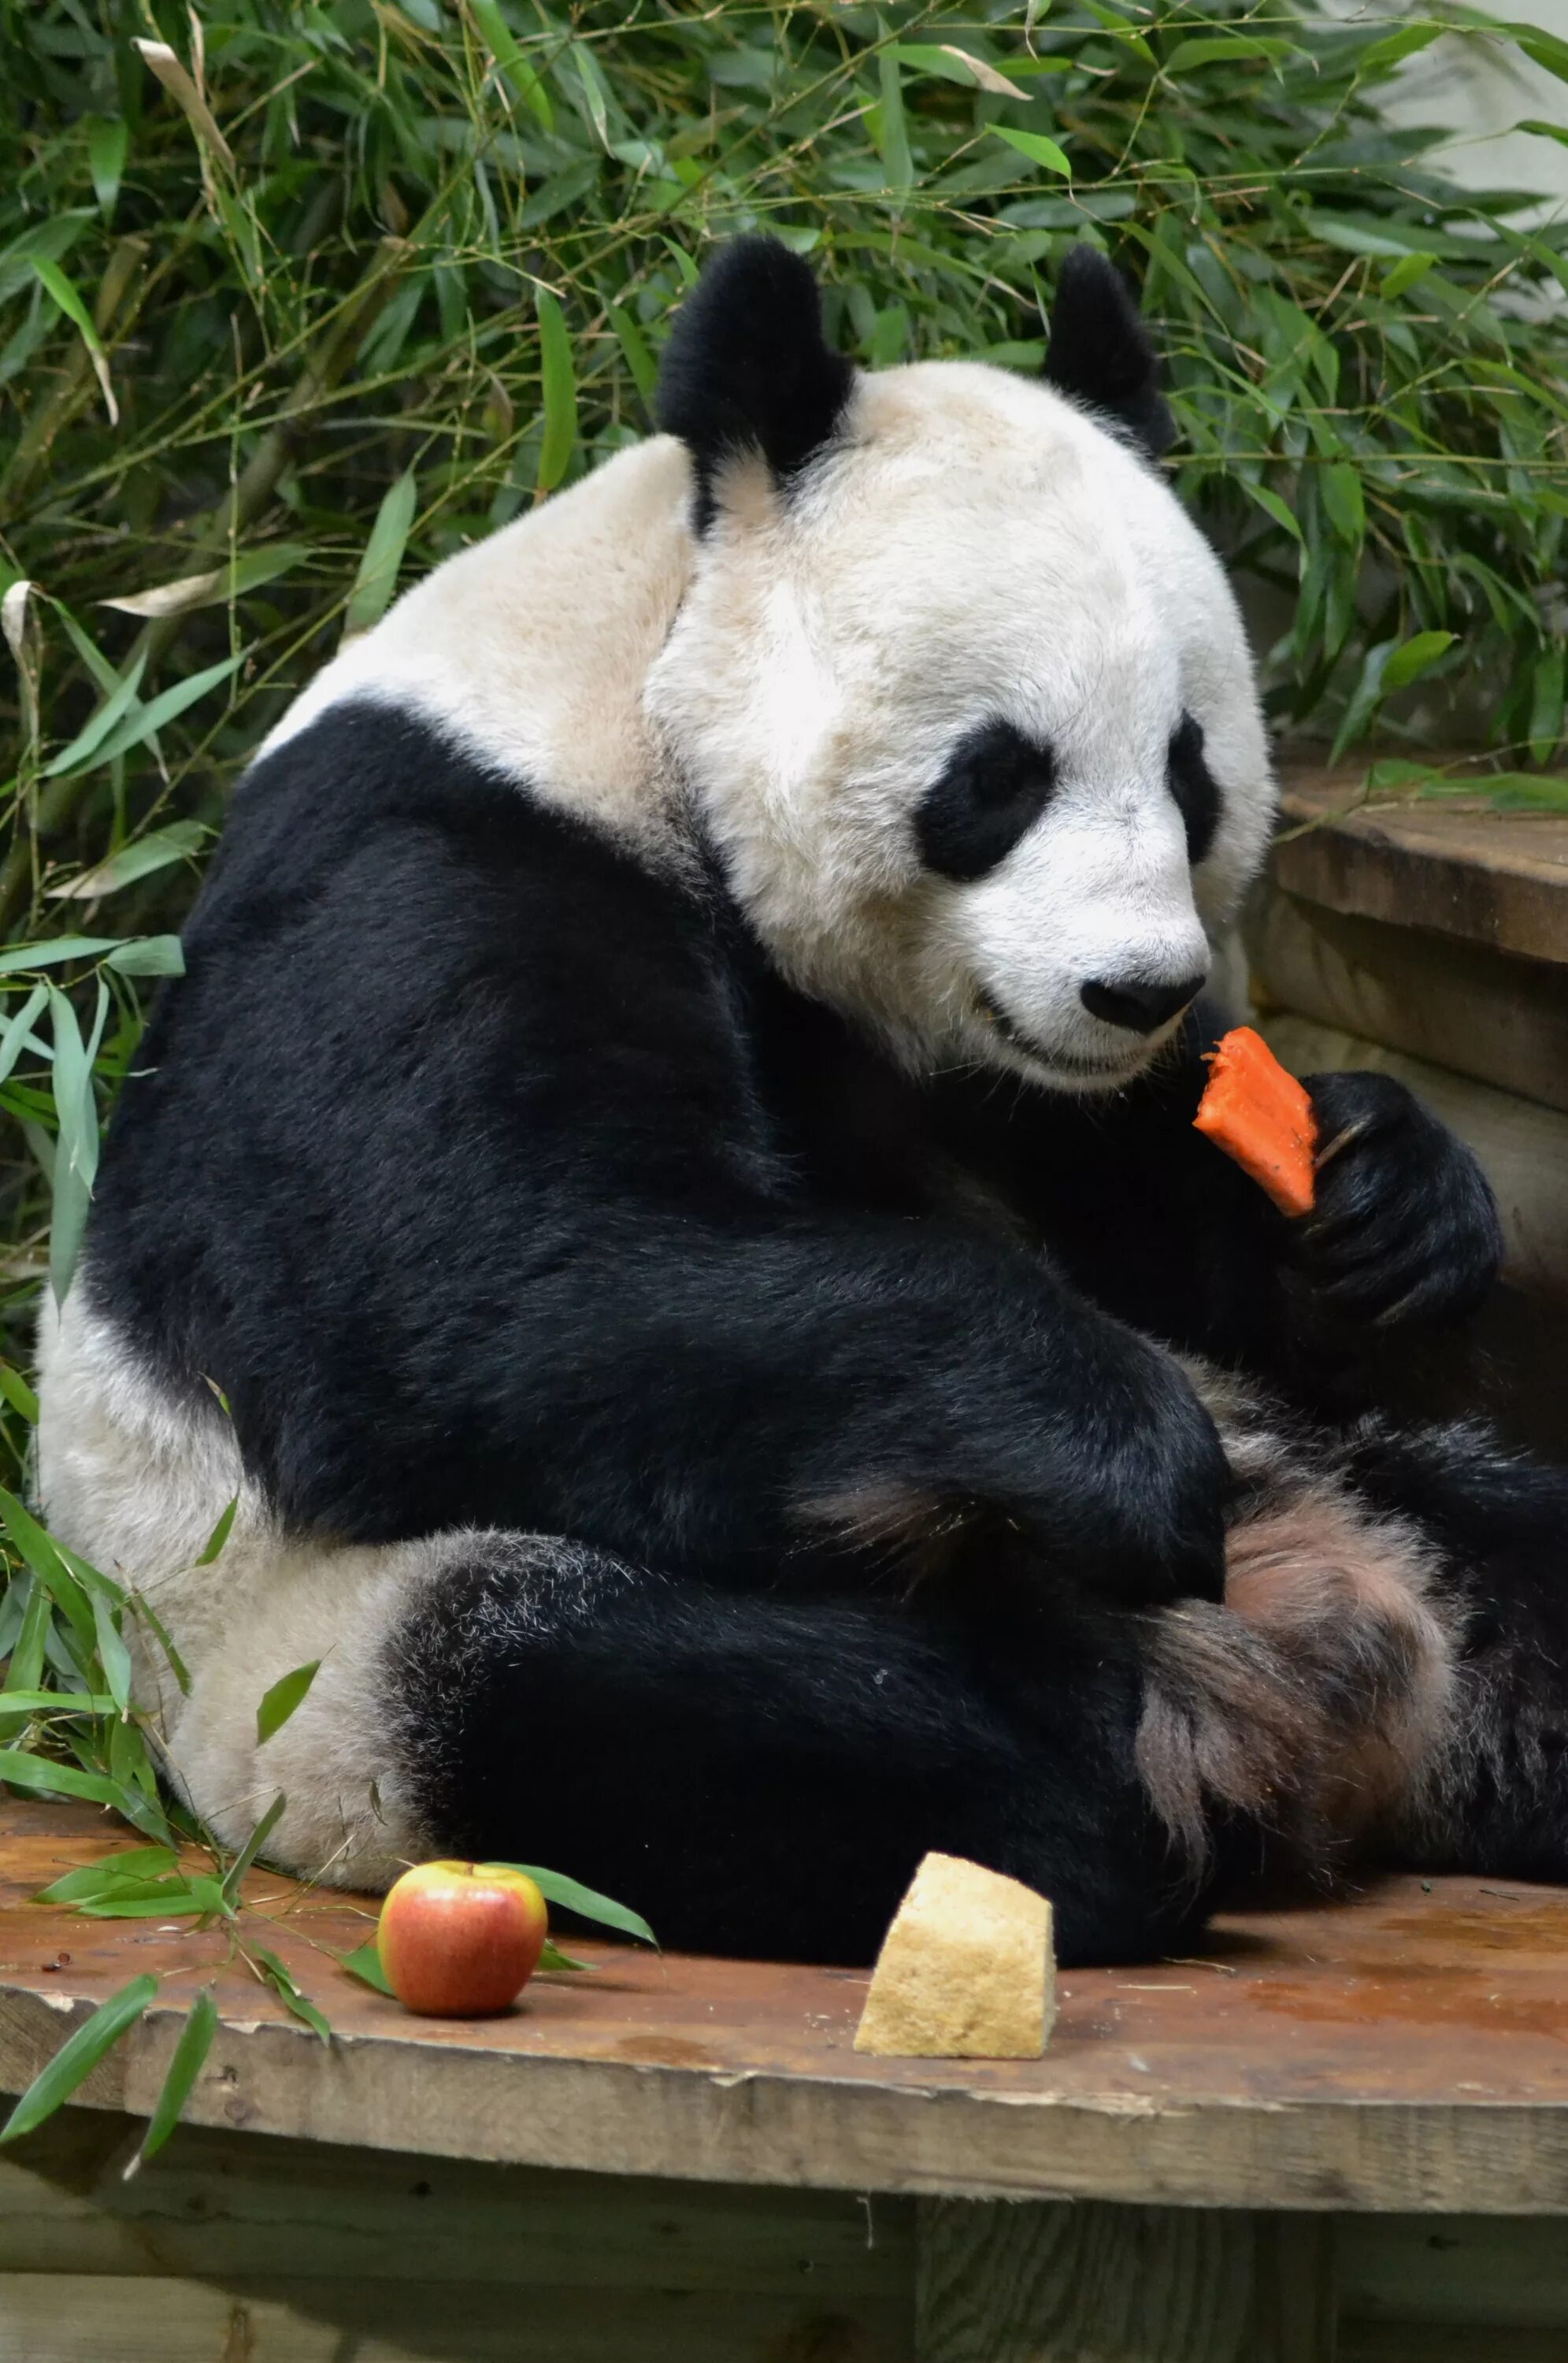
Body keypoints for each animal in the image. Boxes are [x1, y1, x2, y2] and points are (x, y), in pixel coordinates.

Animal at [30, 239, 1568, 1966]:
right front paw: (1125, 1457)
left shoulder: (1005, 1089)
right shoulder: (432, 860)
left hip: (1359, 1471)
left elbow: (1168, 1232)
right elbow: (469, 1296)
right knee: (737, 1718)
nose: (1140, 993)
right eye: (998, 775)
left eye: (1192, 773)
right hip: (339, 1663)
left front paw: (1379, 1198)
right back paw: (1130, 1773)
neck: (644, 682)